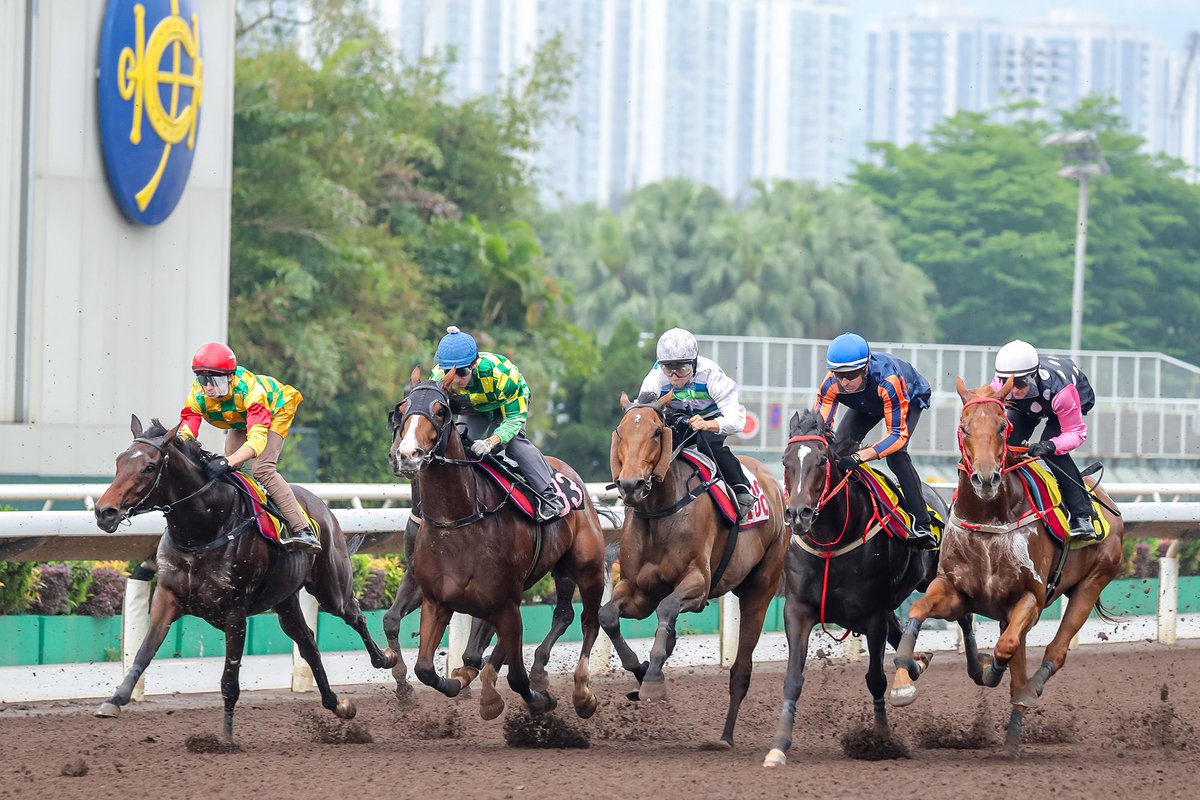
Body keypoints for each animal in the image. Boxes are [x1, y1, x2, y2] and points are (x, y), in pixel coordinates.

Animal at [94, 419, 393, 738]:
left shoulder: (235, 611)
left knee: (354, 614)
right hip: (285, 602)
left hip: (331, 588)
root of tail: (321, 506)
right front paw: (114, 700)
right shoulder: (167, 597)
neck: (202, 530)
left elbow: (230, 680)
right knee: (308, 644)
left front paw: (226, 738)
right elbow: (144, 652)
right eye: (119, 461)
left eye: (149, 467)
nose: (104, 512)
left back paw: (386, 657)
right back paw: (337, 704)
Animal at [386, 371, 604, 724]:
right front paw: (442, 682)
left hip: (587, 568)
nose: (406, 455)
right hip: (553, 571)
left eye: (441, 410)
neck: (458, 519)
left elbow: (510, 672)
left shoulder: (501, 599)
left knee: (588, 620)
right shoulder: (433, 592)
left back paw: (581, 692)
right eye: (401, 409)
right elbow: (422, 662)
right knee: (561, 615)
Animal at [600, 391, 787, 748]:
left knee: (741, 669)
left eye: (656, 432)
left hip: (761, 588)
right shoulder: (637, 589)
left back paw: (725, 737)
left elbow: (668, 607)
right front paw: (641, 669)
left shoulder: (698, 583)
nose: (630, 484)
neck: (661, 512)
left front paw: (653, 678)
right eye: (619, 432)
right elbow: (608, 616)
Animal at [763, 412, 960, 767]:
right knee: (903, 635)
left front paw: (881, 739)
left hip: (935, 577)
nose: (798, 514)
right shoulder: (797, 609)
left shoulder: (873, 614)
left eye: (822, 460)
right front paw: (778, 746)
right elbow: (793, 678)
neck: (832, 540)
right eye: (786, 461)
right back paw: (917, 661)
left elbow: (876, 680)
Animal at [892, 381, 1123, 758]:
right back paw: (1012, 736)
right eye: (964, 427)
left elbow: (1006, 648)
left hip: (1093, 582)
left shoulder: (1029, 597)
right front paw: (903, 681)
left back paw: (1026, 698)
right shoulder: (956, 591)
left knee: (1053, 652)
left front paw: (992, 671)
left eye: (1002, 427)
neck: (990, 520)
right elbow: (917, 611)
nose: (986, 478)